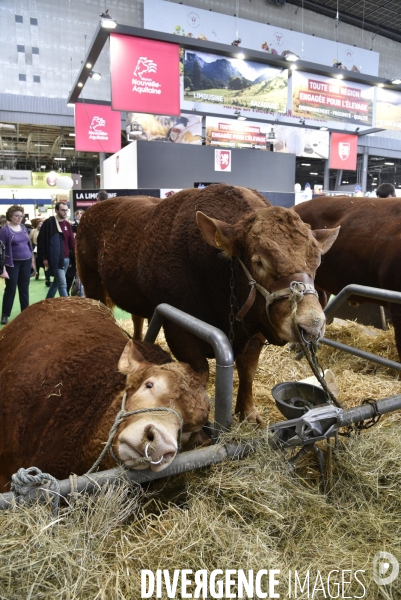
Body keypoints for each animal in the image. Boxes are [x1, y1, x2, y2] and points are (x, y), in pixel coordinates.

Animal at [76, 185, 338, 424]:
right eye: (259, 262)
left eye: (317, 261)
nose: (311, 326)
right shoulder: (179, 330)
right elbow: (199, 372)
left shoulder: (256, 326)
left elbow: (248, 369)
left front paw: (248, 413)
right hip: (91, 281)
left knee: (137, 317)